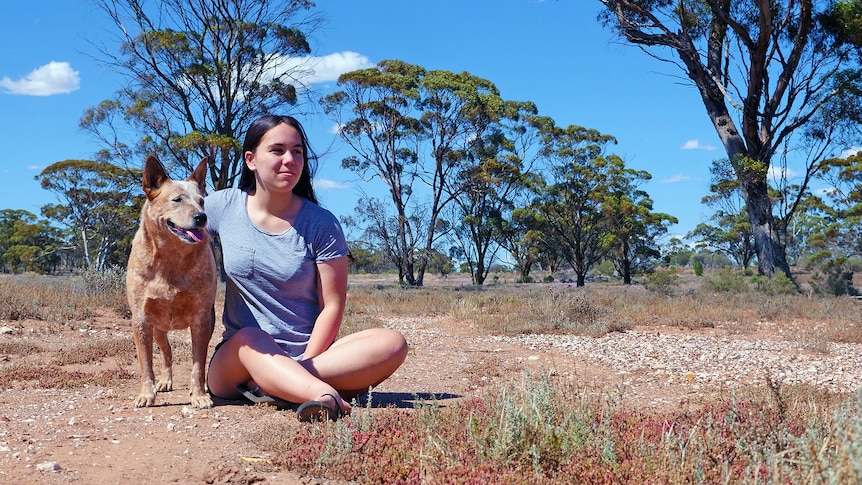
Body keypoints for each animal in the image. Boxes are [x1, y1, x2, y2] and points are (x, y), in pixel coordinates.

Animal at [127, 156, 218, 408]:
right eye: (177, 199)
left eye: (202, 201)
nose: (201, 217)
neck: (171, 258)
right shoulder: (141, 319)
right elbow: (146, 364)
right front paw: (146, 394)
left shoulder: (201, 318)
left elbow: (198, 363)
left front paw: (199, 395)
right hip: (158, 329)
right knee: (166, 352)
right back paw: (165, 381)